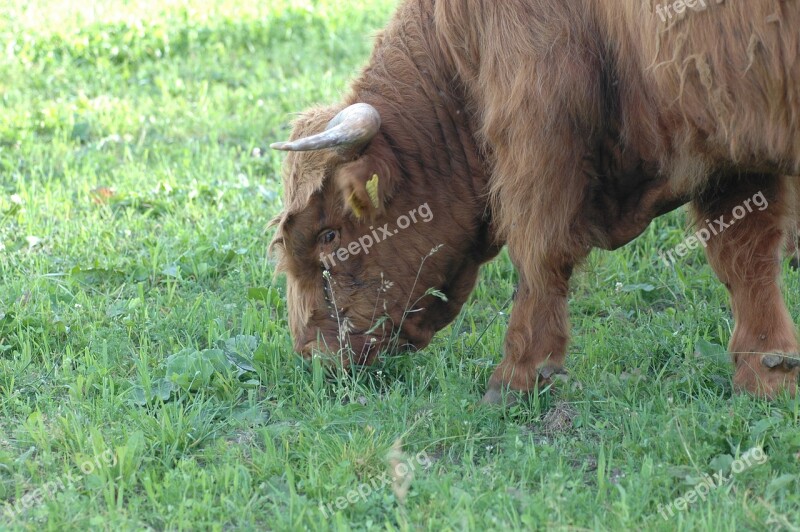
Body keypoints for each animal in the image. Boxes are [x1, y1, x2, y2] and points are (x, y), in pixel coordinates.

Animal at [270, 0, 800, 400]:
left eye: (329, 234)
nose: (313, 356)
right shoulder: (729, 147)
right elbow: (744, 258)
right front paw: (767, 371)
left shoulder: (538, 133)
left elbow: (538, 256)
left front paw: (518, 376)